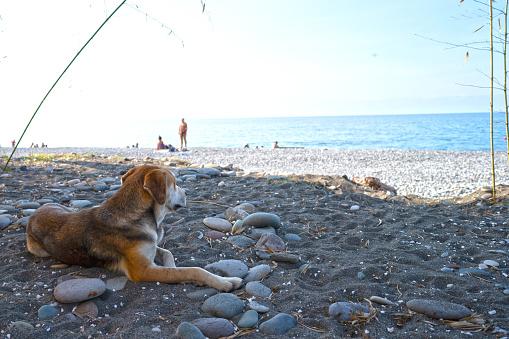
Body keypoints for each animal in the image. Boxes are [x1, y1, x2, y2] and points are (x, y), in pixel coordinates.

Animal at [25, 165, 242, 292]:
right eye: (174, 183)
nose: (187, 192)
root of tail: (36, 212)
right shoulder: (142, 270)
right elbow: (193, 270)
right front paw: (223, 281)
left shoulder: (151, 247)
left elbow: (170, 256)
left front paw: (177, 273)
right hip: (39, 251)